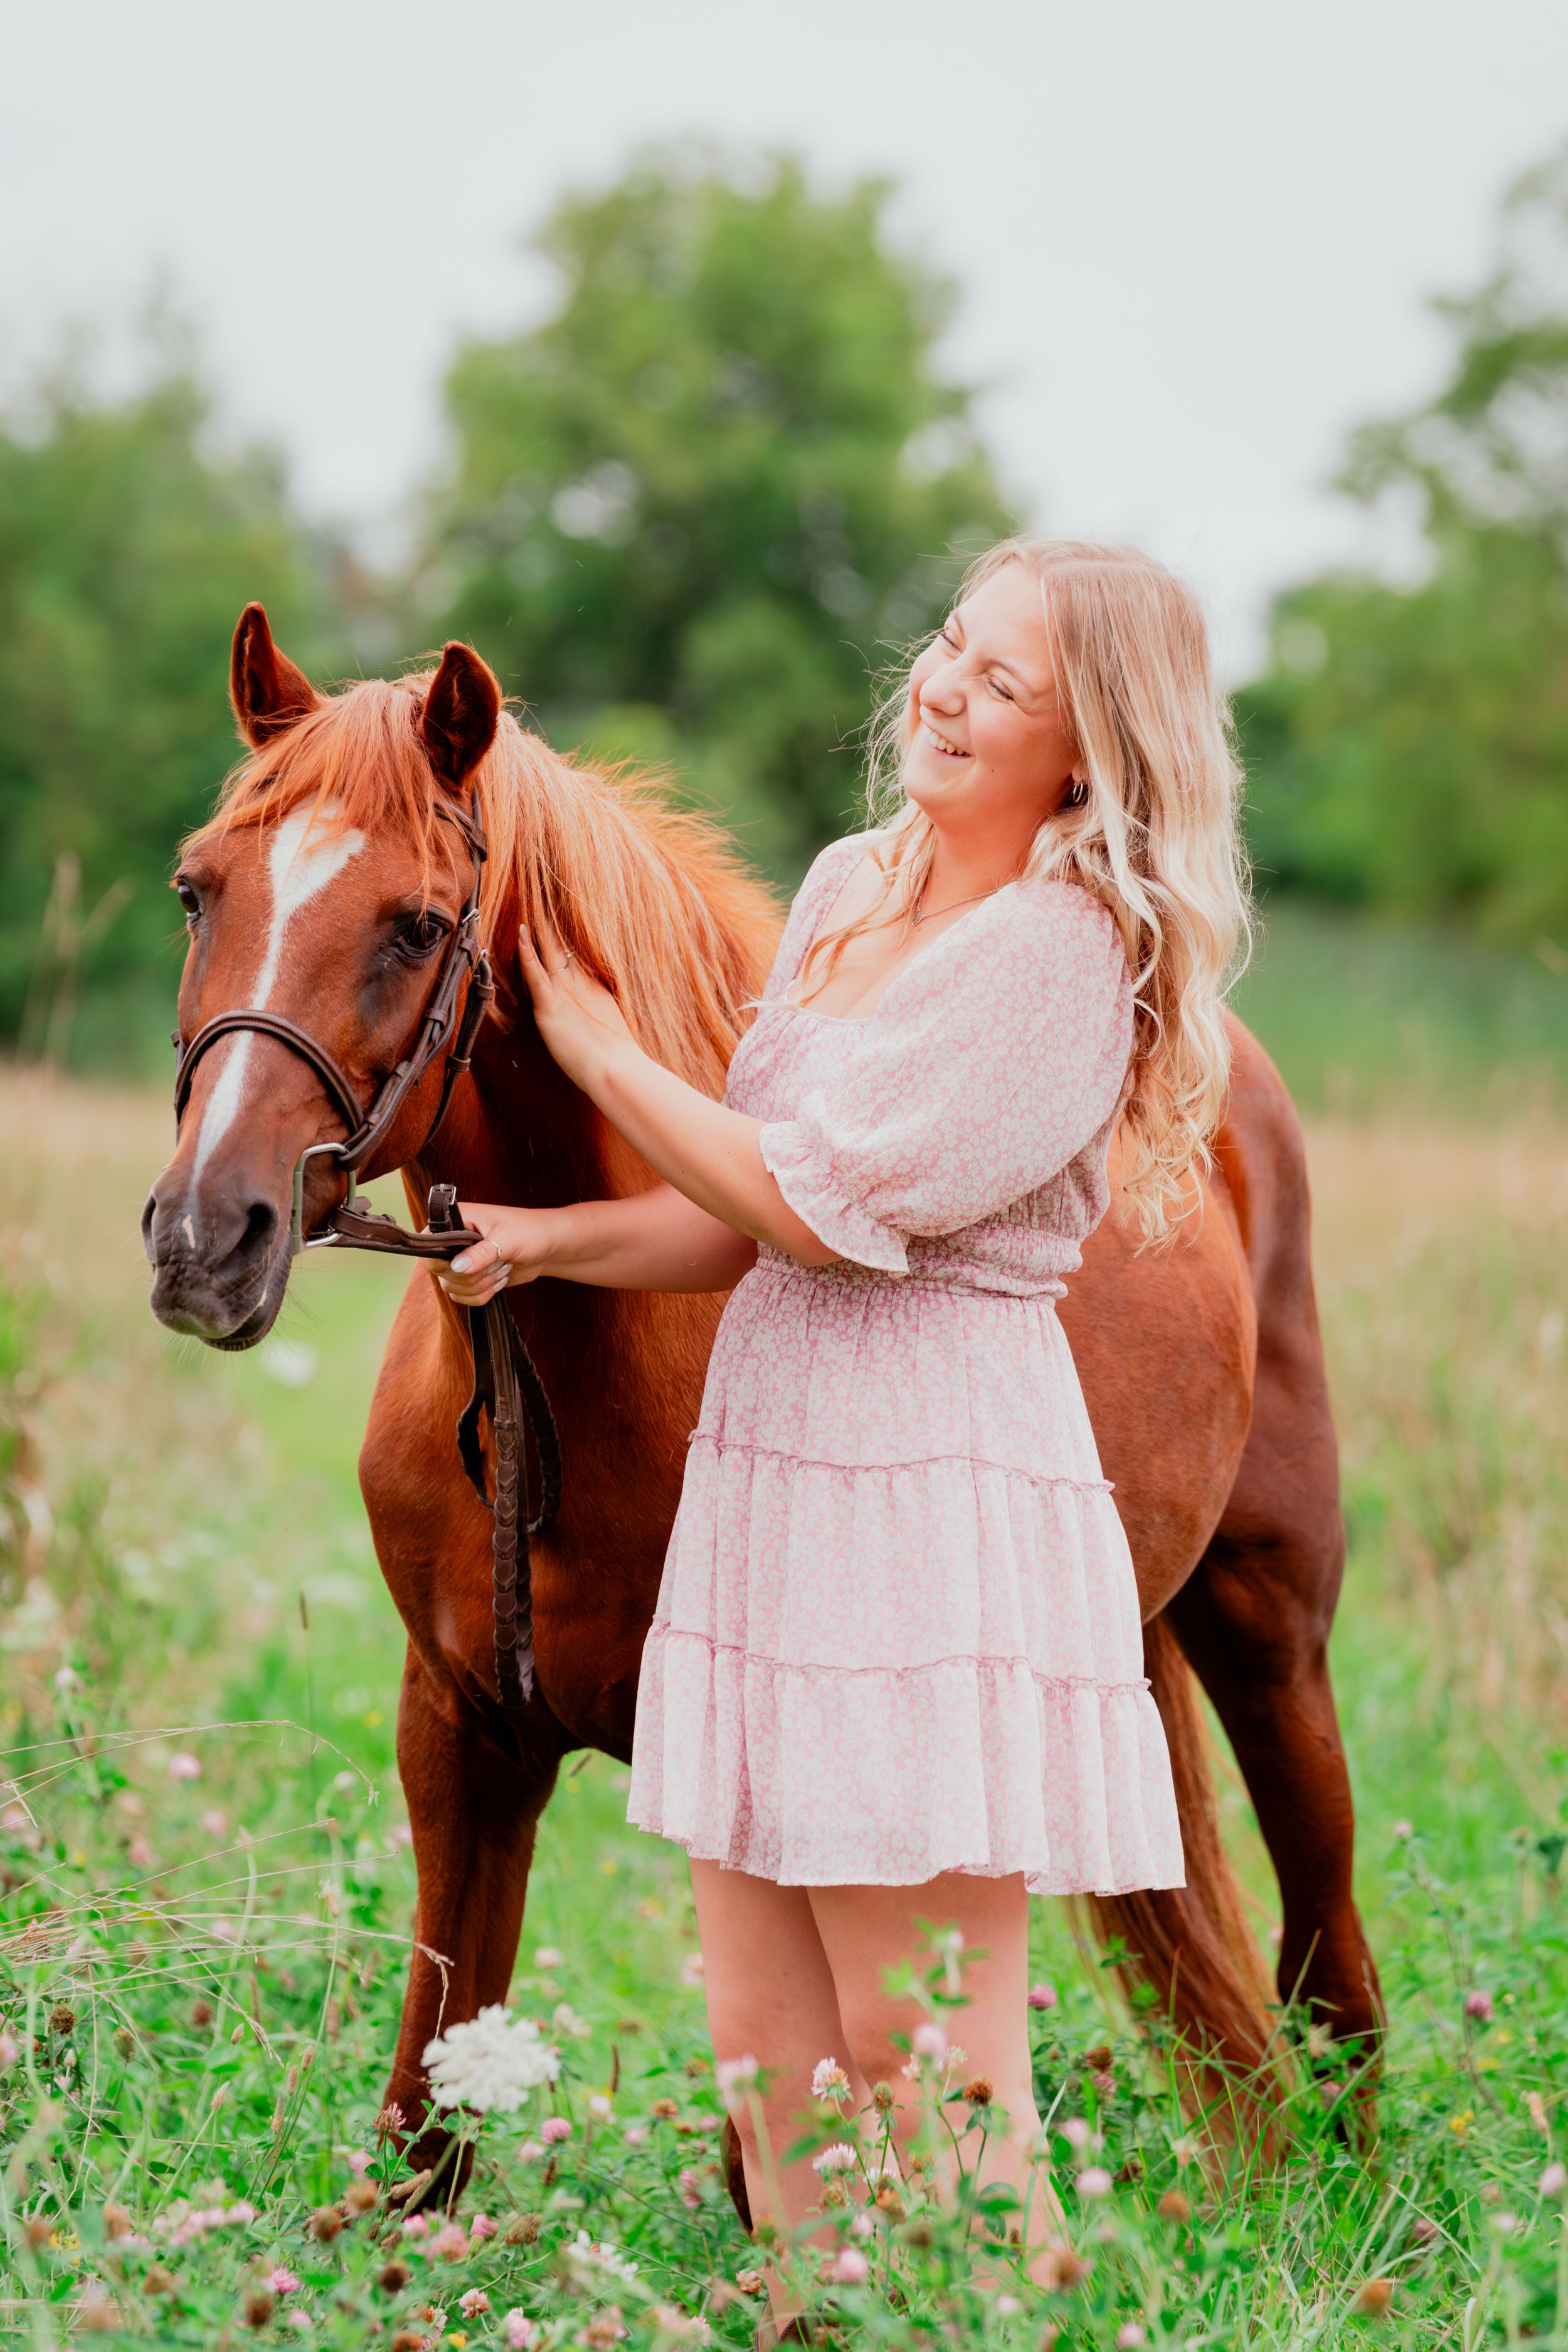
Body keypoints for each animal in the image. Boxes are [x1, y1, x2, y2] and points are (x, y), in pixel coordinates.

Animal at [143, 607, 1380, 2179]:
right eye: (198, 891)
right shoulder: (460, 1739)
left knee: (1324, 1933)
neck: (556, 1386)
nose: (205, 1238)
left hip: (1270, 1614)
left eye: (416, 925)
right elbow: (427, 2114)